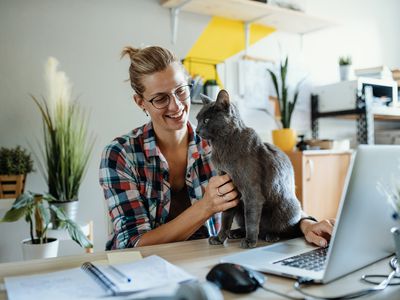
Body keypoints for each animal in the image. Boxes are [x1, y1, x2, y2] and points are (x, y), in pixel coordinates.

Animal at [195, 89, 302, 248]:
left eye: (206, 120)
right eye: (197, 119)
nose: (196, 130)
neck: (221, 146)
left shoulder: (252, 192)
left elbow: (251, 219)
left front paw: (250, 241)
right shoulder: (228, 188)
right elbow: (226, 216)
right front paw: (220, 238)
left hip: (285, 207)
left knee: (285, 230)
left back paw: (271, 235)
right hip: (240, 210)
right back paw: (236, 233)